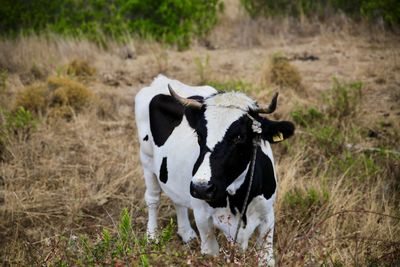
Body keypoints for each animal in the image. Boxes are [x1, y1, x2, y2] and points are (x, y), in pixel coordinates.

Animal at [136, 75, 296, 266]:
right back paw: (152, 236)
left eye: (239, 137)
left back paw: (186, 234)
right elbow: (211, 252)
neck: (238, 198)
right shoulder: (202, 218)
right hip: (146, 159)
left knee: (177, 199)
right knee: (153, 199)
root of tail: (161, 79)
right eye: (199, 135)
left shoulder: (268, 215)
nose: (201, 188)